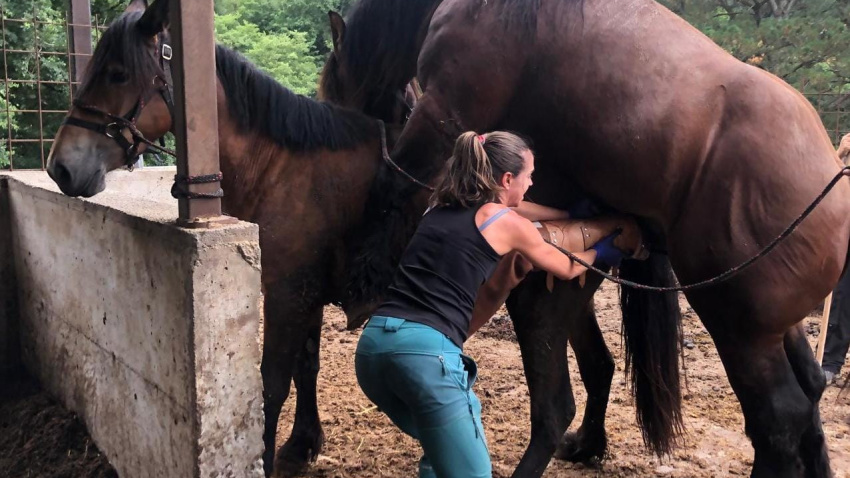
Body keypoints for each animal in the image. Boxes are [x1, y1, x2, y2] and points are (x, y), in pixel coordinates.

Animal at [320, 0, 850, 477]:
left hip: (740, 331)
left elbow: (395, 181)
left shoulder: (446, 107)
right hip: (774, 328)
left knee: (778, 419)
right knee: (808, 395)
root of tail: (832, 185)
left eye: (334, 90)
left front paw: (364, 284)